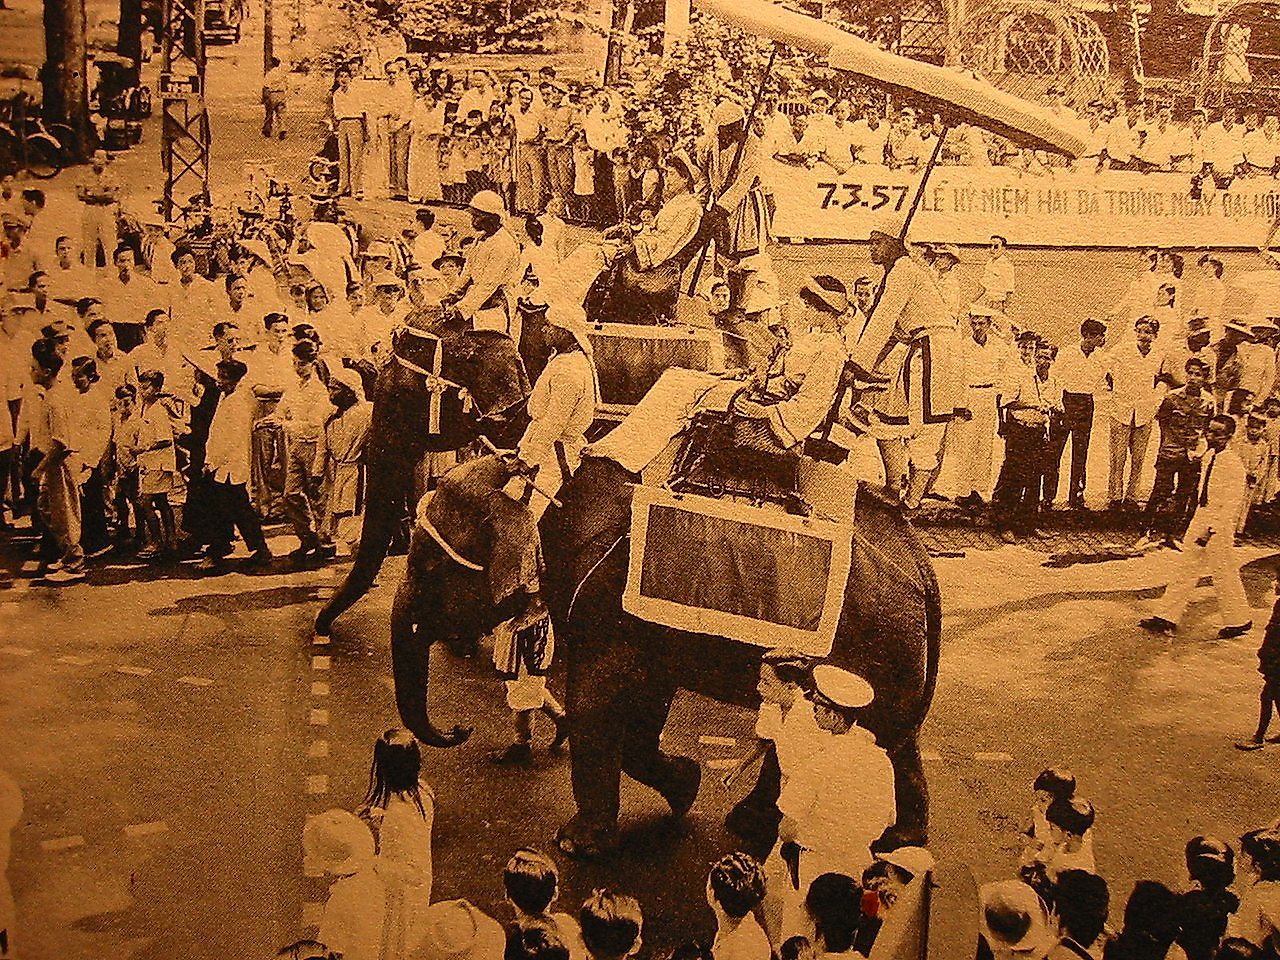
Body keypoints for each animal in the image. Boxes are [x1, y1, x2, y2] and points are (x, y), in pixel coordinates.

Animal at [389, 455, 942, 860]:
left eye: (429, 564)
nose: (460, 730)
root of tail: (922, 561)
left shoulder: (605, 600)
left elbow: (596, 704)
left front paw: (574, 846)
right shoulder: (643, 630)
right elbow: (642, 711)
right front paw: (685, 787)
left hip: (875, 651)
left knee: (876, 735)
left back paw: (885, 839)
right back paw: (765, 823)